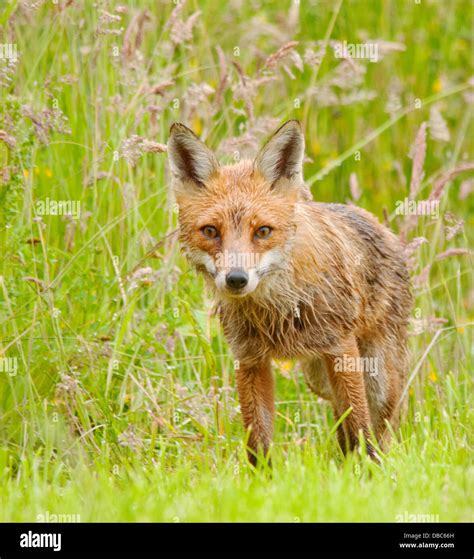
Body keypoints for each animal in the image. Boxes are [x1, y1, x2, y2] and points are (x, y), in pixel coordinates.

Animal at [168, 120, 412, 466]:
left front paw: (365, 471)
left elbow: (359, 426)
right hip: (318, 378)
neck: (276, 308)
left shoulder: (340, 348)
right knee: (338, 412)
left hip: (378, 379)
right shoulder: (249, 358)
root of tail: (377, 222)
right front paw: (262, 479)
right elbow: (257, 440)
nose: (236, 279)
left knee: (378, 425)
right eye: (211, 231)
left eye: (263, 231)